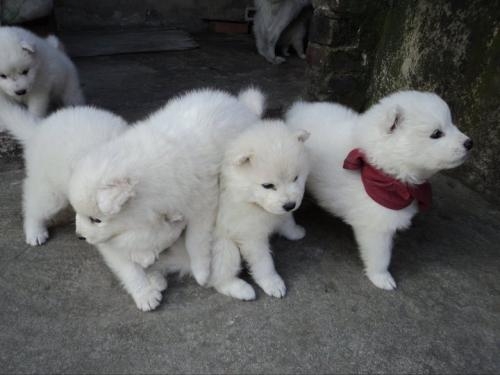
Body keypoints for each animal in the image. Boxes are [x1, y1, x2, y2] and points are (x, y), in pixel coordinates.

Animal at [69, 87, 266, 312]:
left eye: (96, 220)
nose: (79, 236)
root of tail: (239, 104)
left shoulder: (202, 202)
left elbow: (195, 240)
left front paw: (200, 271)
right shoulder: (115, 239)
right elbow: (129, 264)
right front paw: (145, 288)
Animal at [209, 119, 310, 302]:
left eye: (295, 178)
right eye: (268, 185)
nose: (290, 205)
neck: (253, 202)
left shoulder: (280, 213)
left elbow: (287, 221)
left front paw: (295, 232)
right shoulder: (251, 236)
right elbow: (264, 262)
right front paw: (273, 283)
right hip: (224, 247)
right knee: (220, 278)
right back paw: (242, 290)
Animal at [286, 91, 472, 290]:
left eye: (451, 123)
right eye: (436, 134)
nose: (470, 143)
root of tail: (298, 109)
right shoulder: (375, 225)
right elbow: (380, 255)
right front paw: (382, 278)